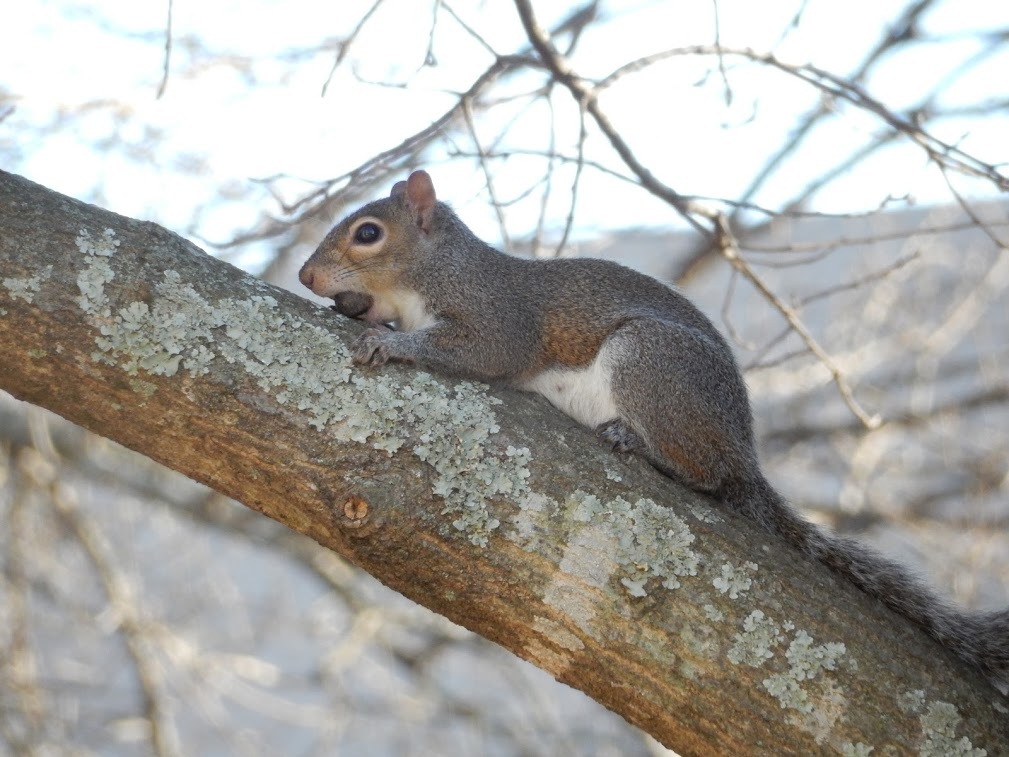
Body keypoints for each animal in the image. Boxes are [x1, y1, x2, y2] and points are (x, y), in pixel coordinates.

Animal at [298, 170, 1008, 694]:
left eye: (368, 233)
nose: (306, 277)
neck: (434, 272)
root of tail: (744, 452)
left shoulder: (498, 316)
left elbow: (483, 350)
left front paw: (393, 345)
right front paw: (364, 316)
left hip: (651, 366)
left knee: (707, 476)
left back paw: (641, 445)